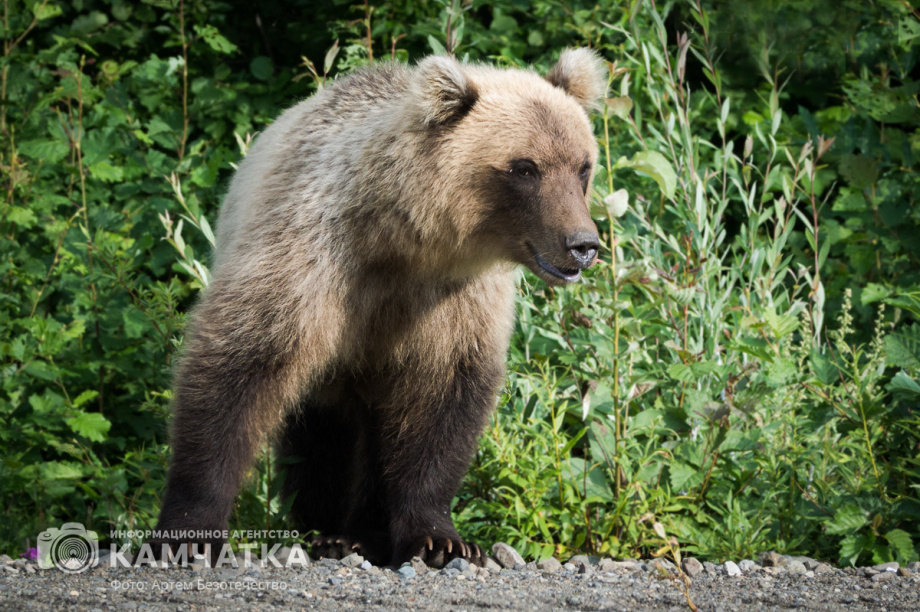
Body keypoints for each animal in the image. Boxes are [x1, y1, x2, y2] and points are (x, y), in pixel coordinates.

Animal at [152, 48, 605, 568]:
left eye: (583, 166)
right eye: (525, 168)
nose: (583, 245)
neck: (400, 240)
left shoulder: (452, 300)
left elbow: (441, 403)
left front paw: (440, 539)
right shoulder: (312, 257)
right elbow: (240, 367)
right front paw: (190, 530)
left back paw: (363, 534)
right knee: (323, 442)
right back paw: (328, 532)